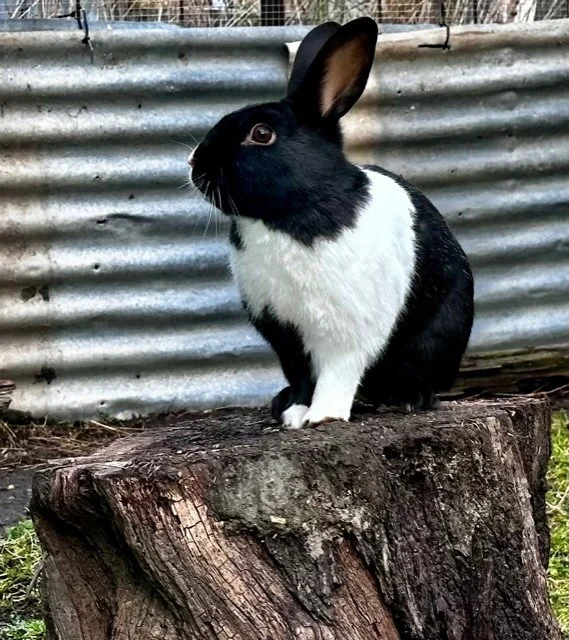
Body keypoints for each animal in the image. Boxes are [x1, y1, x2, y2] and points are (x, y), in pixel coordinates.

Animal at [189, 17, 474, 428]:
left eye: (262, 134)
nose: (194, 163)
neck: (289, 214)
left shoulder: (347, 334)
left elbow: (338, 373)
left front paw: (323, 416)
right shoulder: (286, 335)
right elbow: (301, 376)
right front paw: (294, 413)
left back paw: (407, 400)